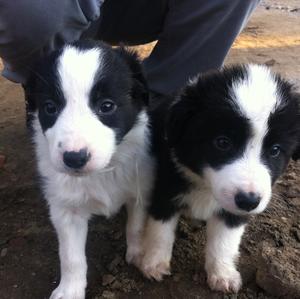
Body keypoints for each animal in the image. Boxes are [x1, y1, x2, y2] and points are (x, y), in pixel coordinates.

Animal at [27, 41, 154, 299]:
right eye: (50, 107)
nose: (74, 158)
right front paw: (69, 290)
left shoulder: (141, 190)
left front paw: (137, 254)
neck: (102, 172)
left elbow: (136, 226)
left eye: (107, 106)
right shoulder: (65, 208)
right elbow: (71, 256)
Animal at [139, 65, 300, 292]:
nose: (249, 201)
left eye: (275, 150)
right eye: (222, 142)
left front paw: (223, 275)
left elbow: (225, 241)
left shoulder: (234, 212)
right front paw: (153, 264)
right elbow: (160, 230)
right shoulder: (165, 186)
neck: (205, 185)